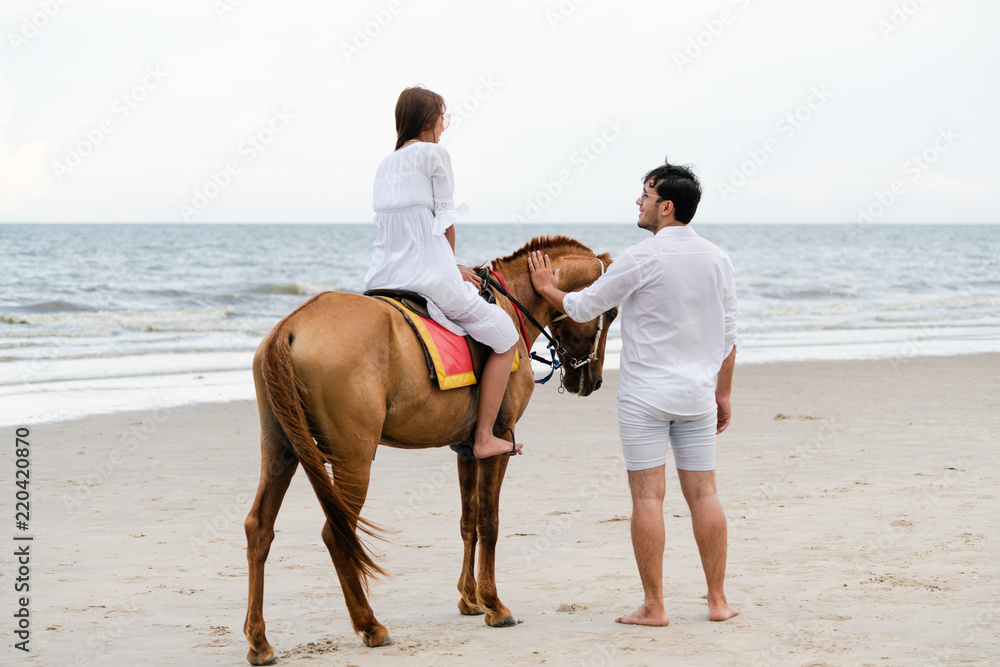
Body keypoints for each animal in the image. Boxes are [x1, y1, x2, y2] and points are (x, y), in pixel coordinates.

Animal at [243, 235, 616, 664]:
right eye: (613, 312)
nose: (592, 380)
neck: (511, 304)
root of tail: (289, 327)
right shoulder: (498, 442)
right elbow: (489, 522)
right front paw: (494, 604)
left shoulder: (467, 450)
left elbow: (468, 521)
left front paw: (471, 599)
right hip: (354, 459)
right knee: (337, 534)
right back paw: (370, 625)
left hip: (281, 452)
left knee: (260, 529)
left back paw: (259, 640)